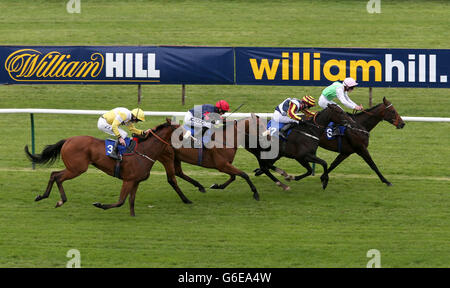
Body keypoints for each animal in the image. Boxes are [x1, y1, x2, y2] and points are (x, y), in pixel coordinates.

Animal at [25, 119, 192, 216]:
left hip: (74, 168)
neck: (144, 151)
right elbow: (121, 201)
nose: (190, 138)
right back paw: (59, 200)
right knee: (57, 177)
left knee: (54, 174)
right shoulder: (128, 180)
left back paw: (44, 196)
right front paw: (100, 205)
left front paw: (133, 216)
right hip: (77, 169)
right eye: (181, 131)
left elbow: (131, 201)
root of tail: (68, 140)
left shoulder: (136, 181)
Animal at [255, 97, 406, 187]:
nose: (402, 123)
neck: (358, 126)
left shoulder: (346, 152)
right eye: (393, 111)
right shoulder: (361, 148)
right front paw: (386, 181)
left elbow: (333, 164)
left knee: (270, 161)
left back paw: (260, 171)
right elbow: (373, 165)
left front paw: (323, 177)